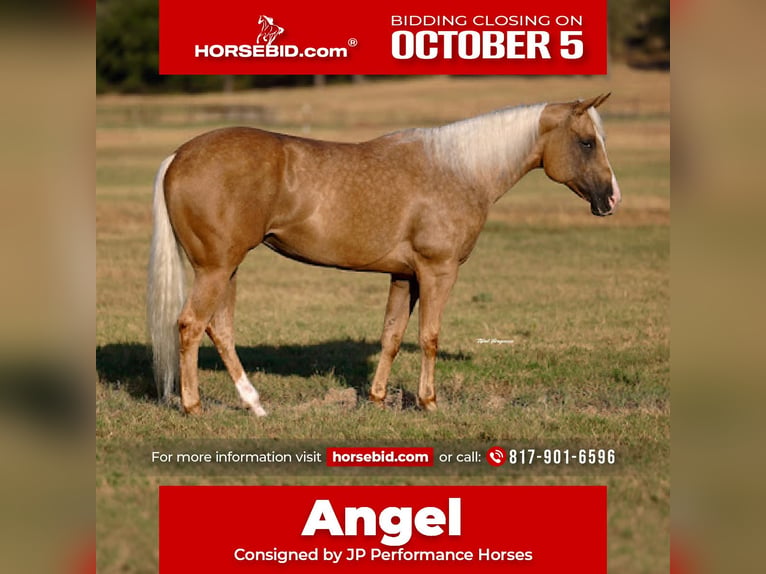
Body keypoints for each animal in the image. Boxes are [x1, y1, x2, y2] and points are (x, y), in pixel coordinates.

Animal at [147, 93, 621, 416]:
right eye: (586, 142)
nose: (611, 199)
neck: (458, 170)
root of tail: (178, 156)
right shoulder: (437, 271)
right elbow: (429, 337)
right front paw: (429, 402)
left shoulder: (404, 276)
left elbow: (391, 336)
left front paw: (376, 399)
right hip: (216, 268)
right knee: (191, 326)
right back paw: (193, 406)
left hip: (227, 268)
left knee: (219, 330)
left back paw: (254, 404)